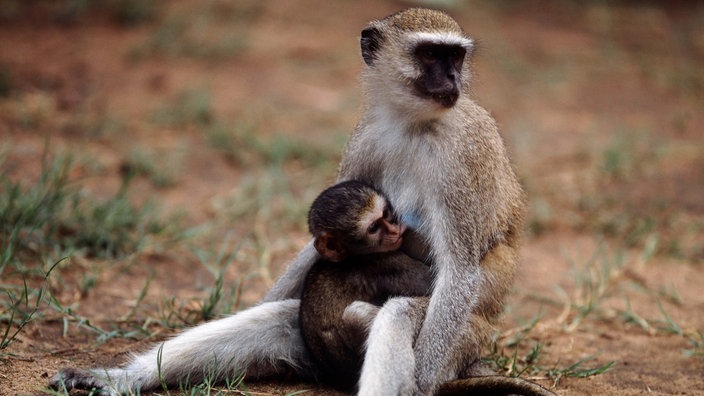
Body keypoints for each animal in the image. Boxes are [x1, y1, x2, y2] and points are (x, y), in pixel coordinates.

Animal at [49, 7, 524, 394]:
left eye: (455, 58)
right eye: (430, 56)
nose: (452, 81)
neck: (414, 124)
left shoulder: (464, 158)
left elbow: (460, 270)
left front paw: (422, 381)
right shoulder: (366, 139)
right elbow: (318, 245)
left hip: (465, 339)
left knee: (398, 317)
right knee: (281, 318)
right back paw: (125, 379)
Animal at [300, 182, 560, 396]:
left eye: (386, 214)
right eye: (374, 227)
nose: (395, 229)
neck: (353, 257)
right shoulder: (387, 263)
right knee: (356, 314)